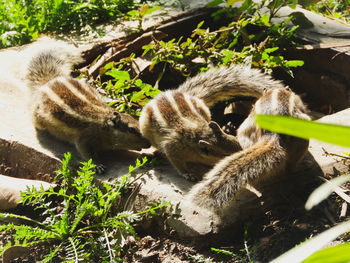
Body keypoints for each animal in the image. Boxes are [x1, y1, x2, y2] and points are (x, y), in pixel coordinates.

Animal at [24, 38, 150, 171]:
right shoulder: (84, 138)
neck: (103, 125)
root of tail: (49, 81)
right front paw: (97, 165)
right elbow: (86, 153)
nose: (149, 143)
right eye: (131, 129)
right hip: (39, 119)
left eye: (138, 123)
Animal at [138, 65, 286, 182]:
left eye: (235, 141)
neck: (200, 134)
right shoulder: (173, 147)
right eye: (225, 155)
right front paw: (187, 174)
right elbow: (177, 164)